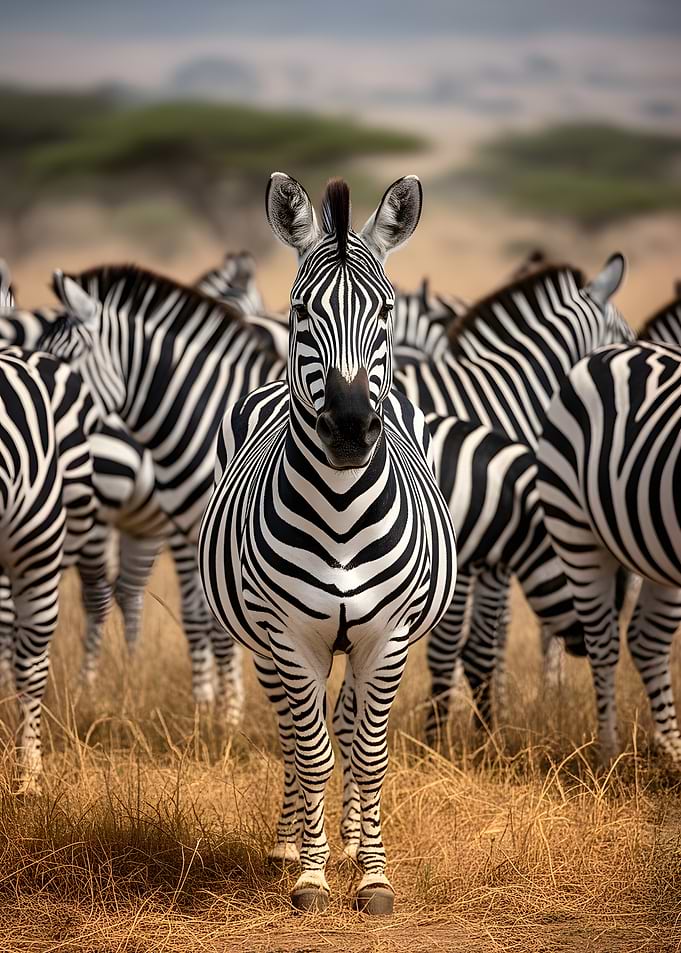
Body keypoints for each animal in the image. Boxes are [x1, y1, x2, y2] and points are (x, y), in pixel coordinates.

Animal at [198, 173, 456, 915]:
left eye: (386, 311)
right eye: (299, 313)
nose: (347, 429)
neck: (340, 508)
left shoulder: (387, 634)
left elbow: (368, 751)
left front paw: (371, 873)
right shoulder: (289, 635)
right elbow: (311, 750)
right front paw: (309, 877)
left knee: (347, 722)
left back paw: (350, 839)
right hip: (262, 643)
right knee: (295, 729)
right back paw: (290, 845)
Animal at [424, 415, 586, 742]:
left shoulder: (490, 566)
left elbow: (478, 655)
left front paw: (487, 742)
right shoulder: (458, 564)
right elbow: (445, 653)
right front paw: (433, 745)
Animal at [536, 341, 681, 762]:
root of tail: (614, 347)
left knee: (648, 640)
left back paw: (671, 749)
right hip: (577, 534)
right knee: (604, 643)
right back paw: (609, 754)